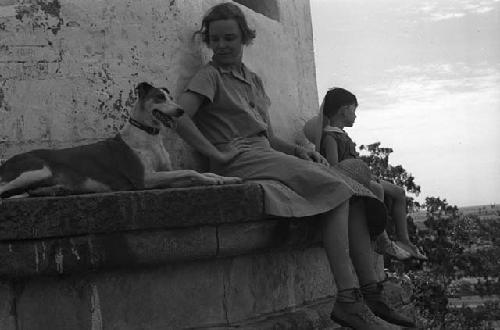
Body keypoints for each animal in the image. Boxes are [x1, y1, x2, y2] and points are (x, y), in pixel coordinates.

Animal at [0, 81, 242, 199]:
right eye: (159, 97)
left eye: (171, 97)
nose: (181, 111)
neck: (149, 136)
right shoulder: (145, 180)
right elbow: (191, 171)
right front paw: (212, 180)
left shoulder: (163, 175)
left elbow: (198, 173)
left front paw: (225, 178)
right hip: (36, 170)